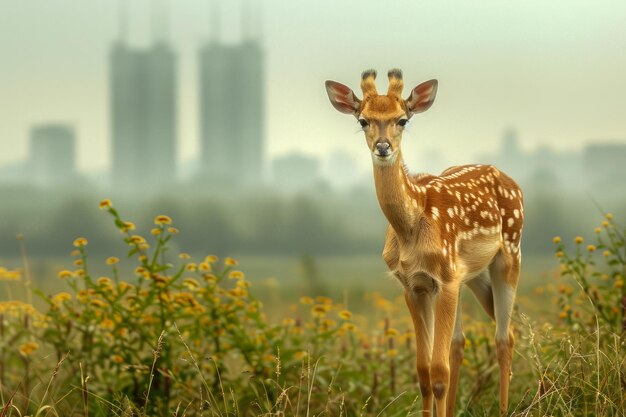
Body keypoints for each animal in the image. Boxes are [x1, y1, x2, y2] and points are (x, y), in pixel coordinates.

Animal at [324, 70, 524, 414]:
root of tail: (511, 181)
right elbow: (423, 372)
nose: (383, 147)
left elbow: (438, 372)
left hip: (510, 253)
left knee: (503, 337)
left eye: (402, 120)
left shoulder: (444, 278)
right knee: (462, 341)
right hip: (470, 276)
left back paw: (503, 409)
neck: (411, 227)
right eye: (363, 120)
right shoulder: (413, 285)